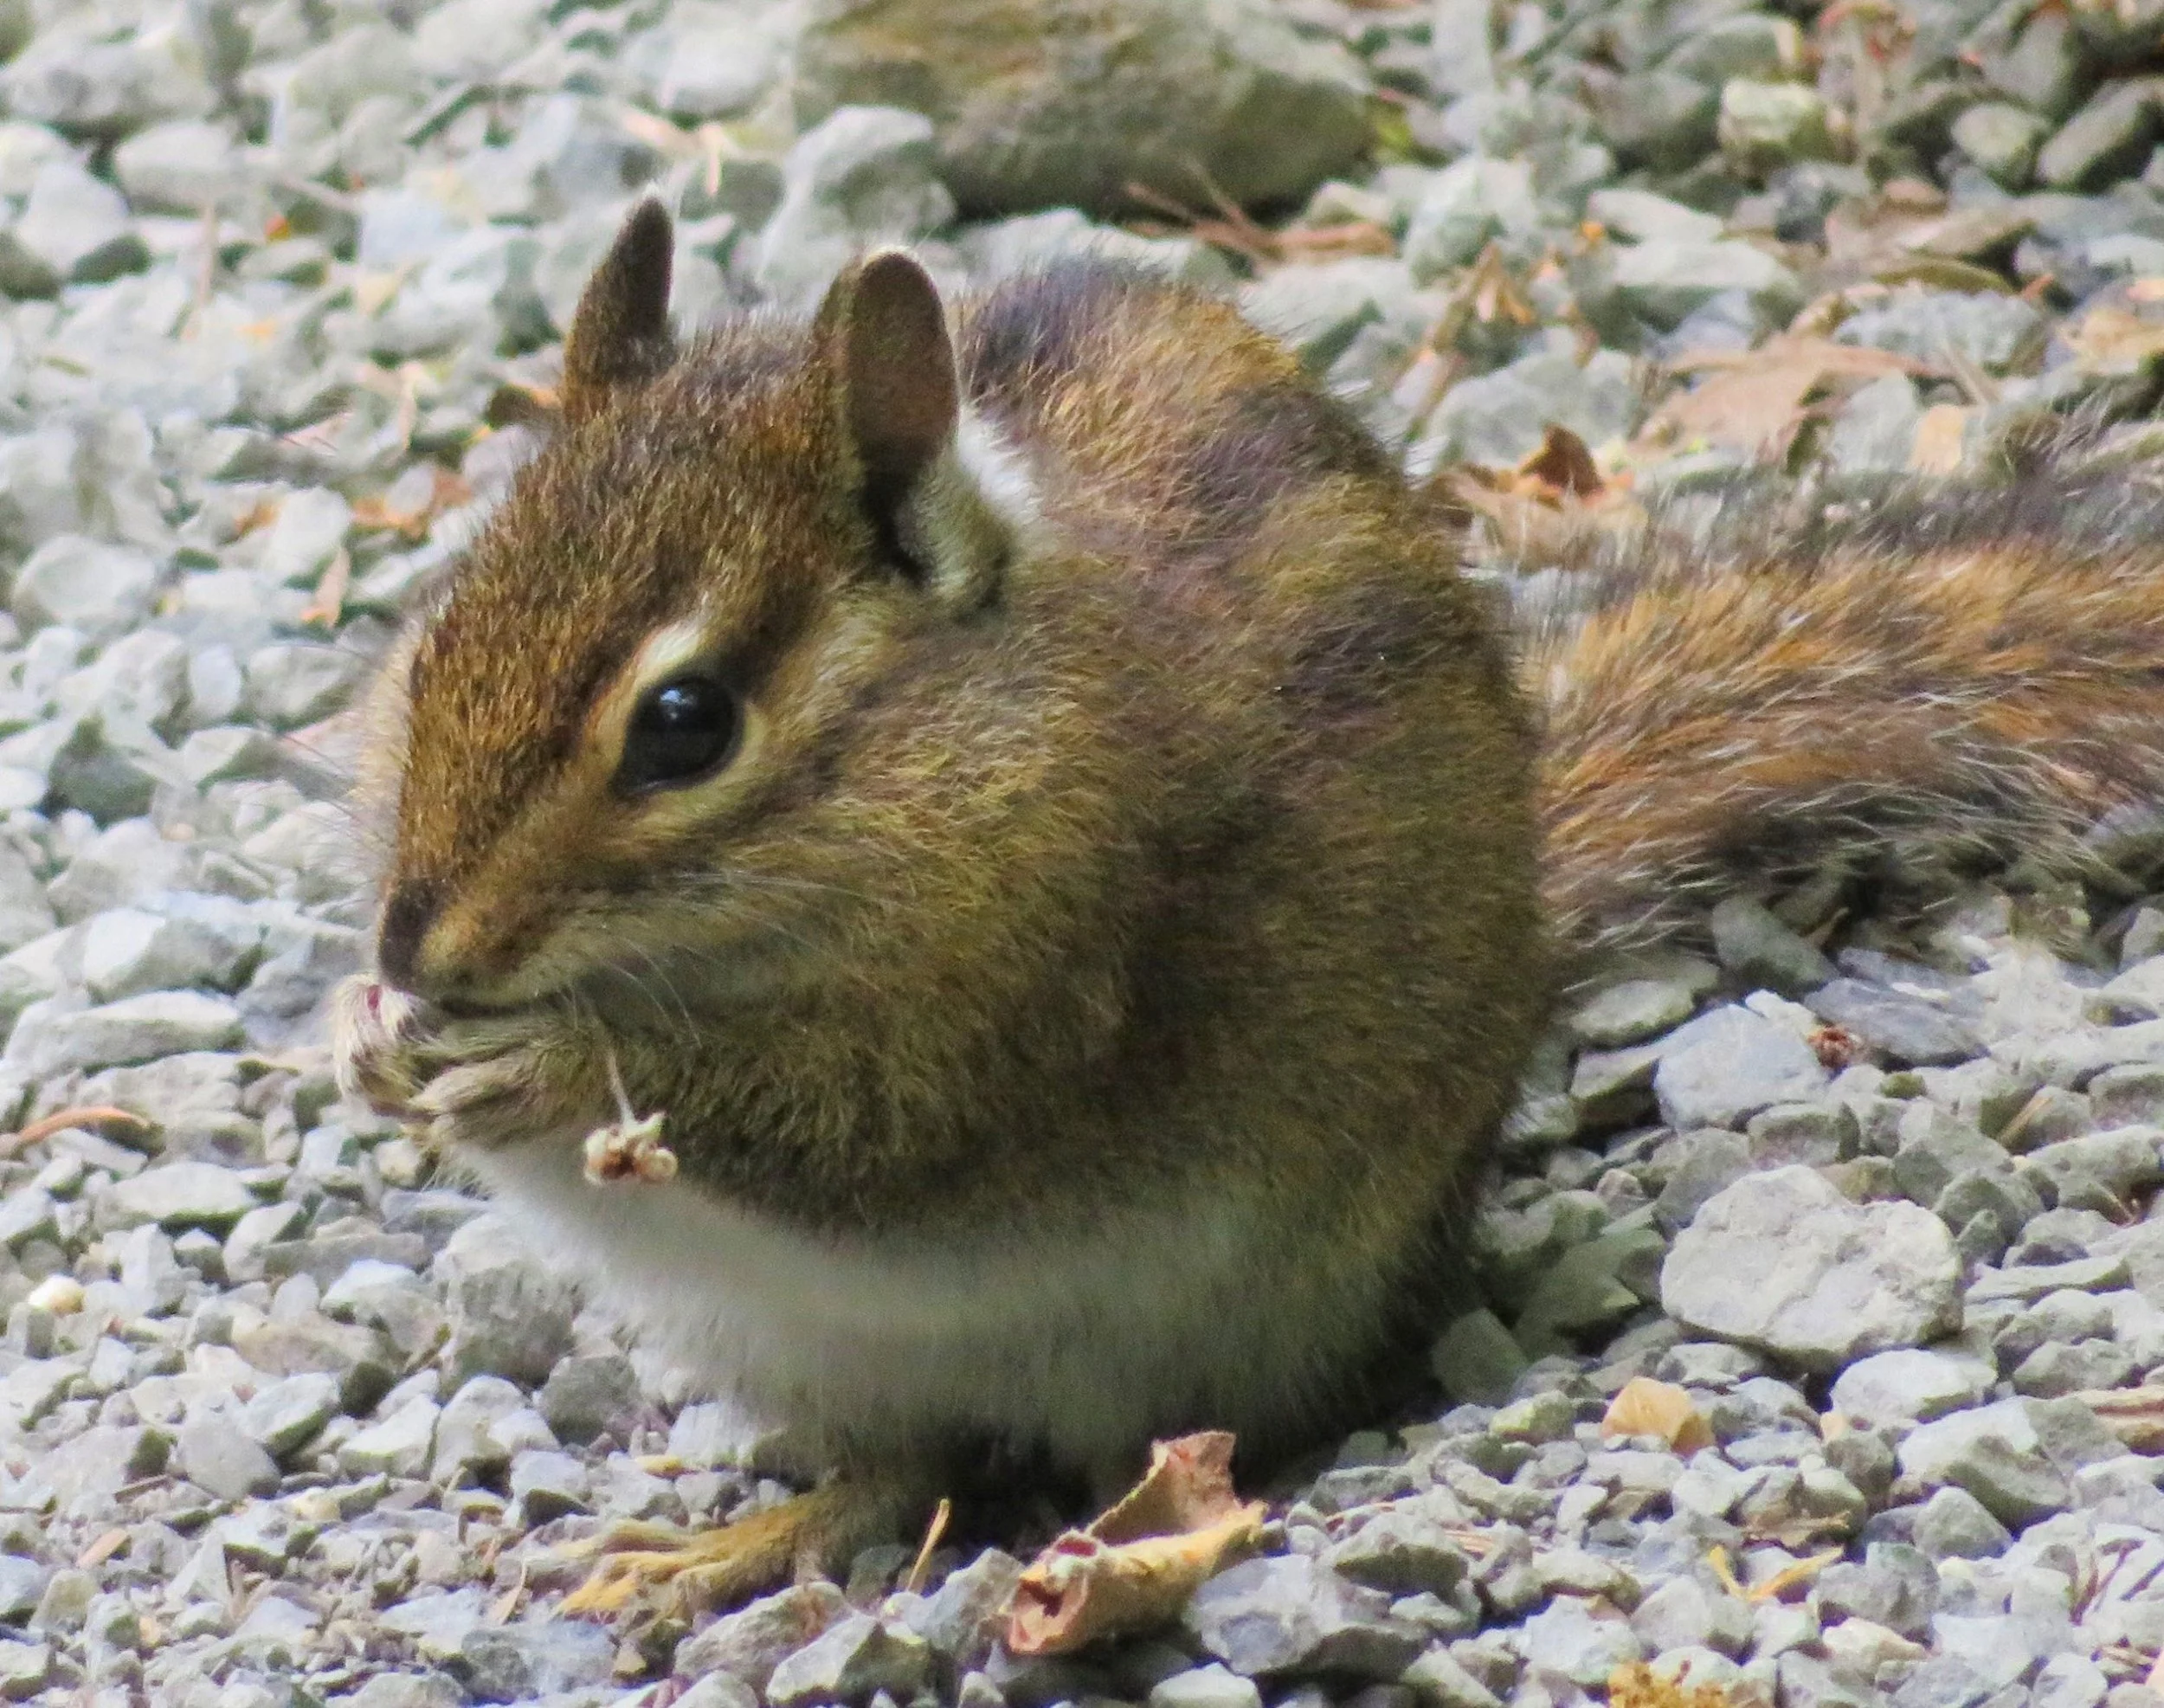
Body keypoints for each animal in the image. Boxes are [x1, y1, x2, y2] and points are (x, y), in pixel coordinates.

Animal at [332, 199, 2164, 1615]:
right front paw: (368, 1041)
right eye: (436, 630)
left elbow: (862, 1126)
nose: (418, 946)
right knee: (897, 1472)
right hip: (804, 1351)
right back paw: (729, 1545)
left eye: (685, 722)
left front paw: (535, 1069)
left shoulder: (1039, 978)